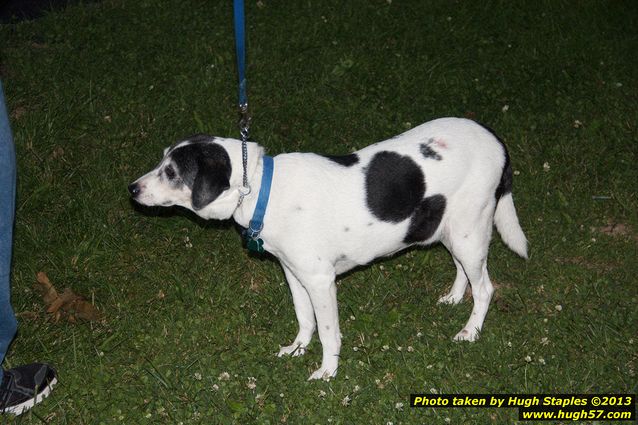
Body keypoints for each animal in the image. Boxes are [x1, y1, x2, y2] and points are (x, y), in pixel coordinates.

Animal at [127, 117, 528, 380]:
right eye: (162, 161)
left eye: (172, 172)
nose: (132, 188)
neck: (259, 187)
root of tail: (496, 139)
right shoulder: (294, 274)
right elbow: (305, 319)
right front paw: (297, 349)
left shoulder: (320, 281)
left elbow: (328, 331)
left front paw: (327, 371)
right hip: (451, 227)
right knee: (464, 272)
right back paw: (454, 298)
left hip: (468, 230)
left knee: (485, 287)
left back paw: (470, 331)